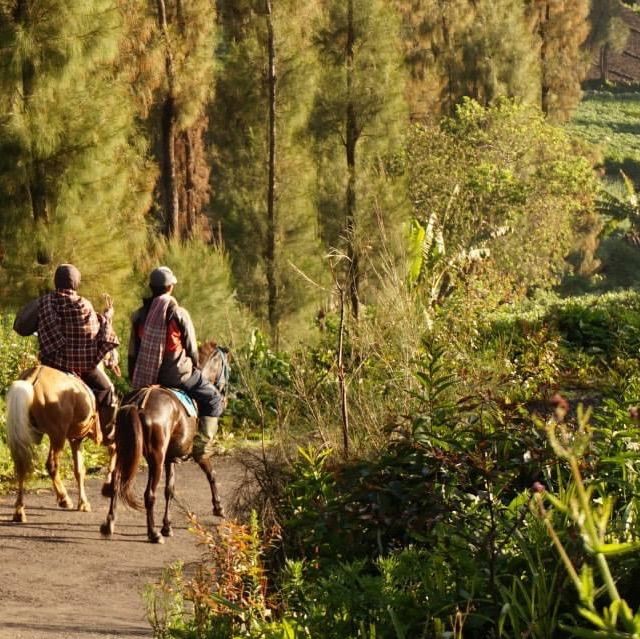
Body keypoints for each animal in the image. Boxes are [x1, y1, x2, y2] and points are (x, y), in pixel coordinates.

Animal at [5, 364, 117, 524]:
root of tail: (33, 378)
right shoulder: (77, 439)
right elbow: (82, 469)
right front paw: (85, 502)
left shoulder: (75, 440)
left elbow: (79, 470)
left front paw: (83, 502)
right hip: (57, 436)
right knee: (51, 465)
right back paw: (64, 499)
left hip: (26, 435)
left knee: (21, 466)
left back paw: (19, 511)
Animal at [100, 344, 228, 544]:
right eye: (227, 367)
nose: (224, 397)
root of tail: (139, 403)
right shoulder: (197, 452)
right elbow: (211, 474)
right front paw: (218, 507)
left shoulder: (170, 458)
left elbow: (170, 490)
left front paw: (167, 525)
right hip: (156, 459)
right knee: (149, 495)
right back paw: (153, 533)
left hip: (125, 452)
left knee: (116, 482)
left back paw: (109, 524)